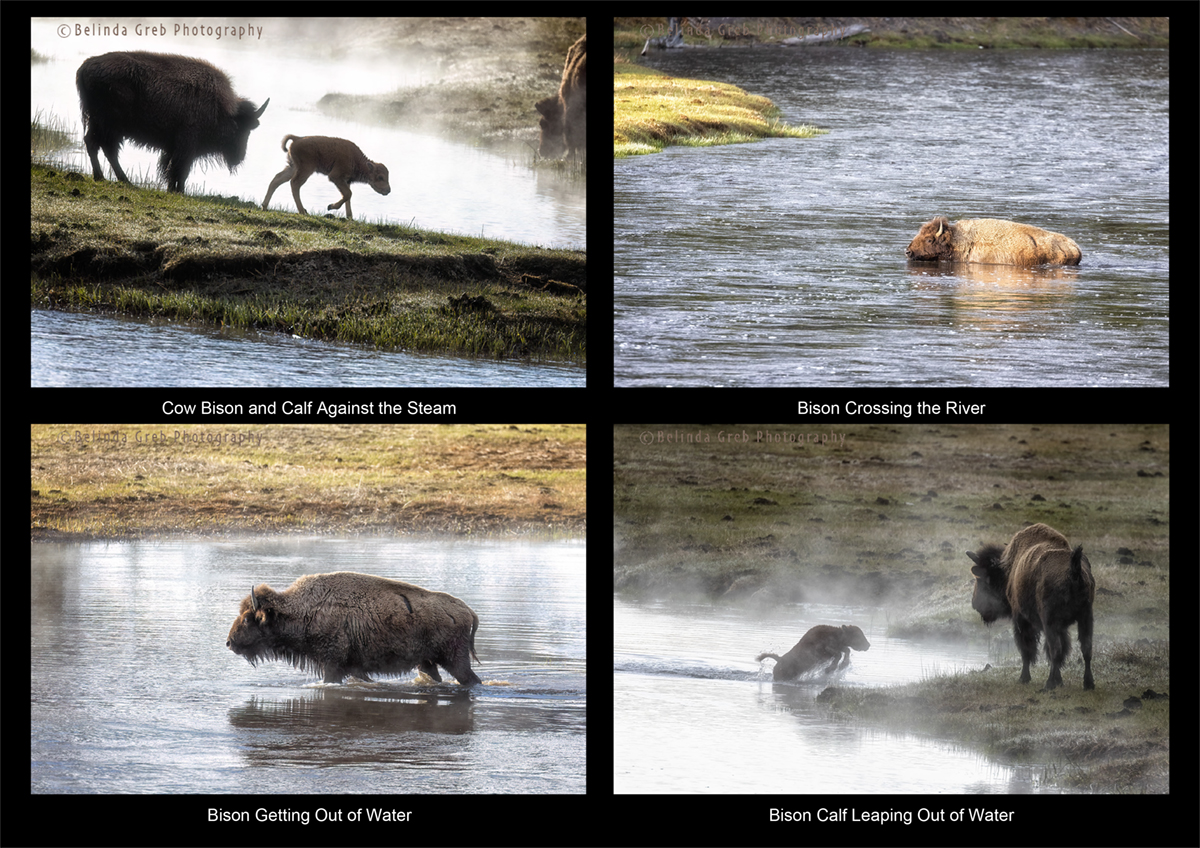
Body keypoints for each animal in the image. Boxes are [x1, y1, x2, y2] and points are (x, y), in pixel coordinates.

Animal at [77, 51, 269, 193]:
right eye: (240, 129)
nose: (239, 157)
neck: (221, 108)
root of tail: (86, 65)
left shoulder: (174, 148)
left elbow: (172, 169)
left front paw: (173, 189)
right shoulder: (187, 145)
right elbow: (180, 170)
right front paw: (179, 191)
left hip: (101, 124)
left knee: (97, 145)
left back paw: (112, 179)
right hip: (109, 125)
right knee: (102, 146)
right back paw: (111, 178)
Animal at [226, 572, 481, 686]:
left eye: (247, 619)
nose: (229, 642)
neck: (304, 610)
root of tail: (468, 610)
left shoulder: (332, 665)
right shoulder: (353, 667)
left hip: (454, 659)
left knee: (471, 679)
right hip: (427, 662)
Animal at [262, 135, 390, 221]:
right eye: (380, 177)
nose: (388, 190)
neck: (356, 160)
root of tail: (297, 138)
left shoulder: (346, 181)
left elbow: (348, 197)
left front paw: (350, 217)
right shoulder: (335, 177)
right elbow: (348, 194)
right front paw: (330, 207)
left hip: (292, 167)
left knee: (277, 179)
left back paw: (264, 206)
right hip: (305, 170)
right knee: (295, 183)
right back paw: (302, 211)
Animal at [967, 523, 1095, 690]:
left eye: (981, 580)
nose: (974, 603)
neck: (1008, 569)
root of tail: (1074, 570)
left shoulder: (1021, 619)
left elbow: (1027, 649)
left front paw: (1024, 678)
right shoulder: (1061, 627)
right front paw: (1060, 681)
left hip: (1050, 621)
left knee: (1055, 649)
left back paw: (1048, 684)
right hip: (1086, 617)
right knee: (1086, 648)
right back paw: (1088, 683)